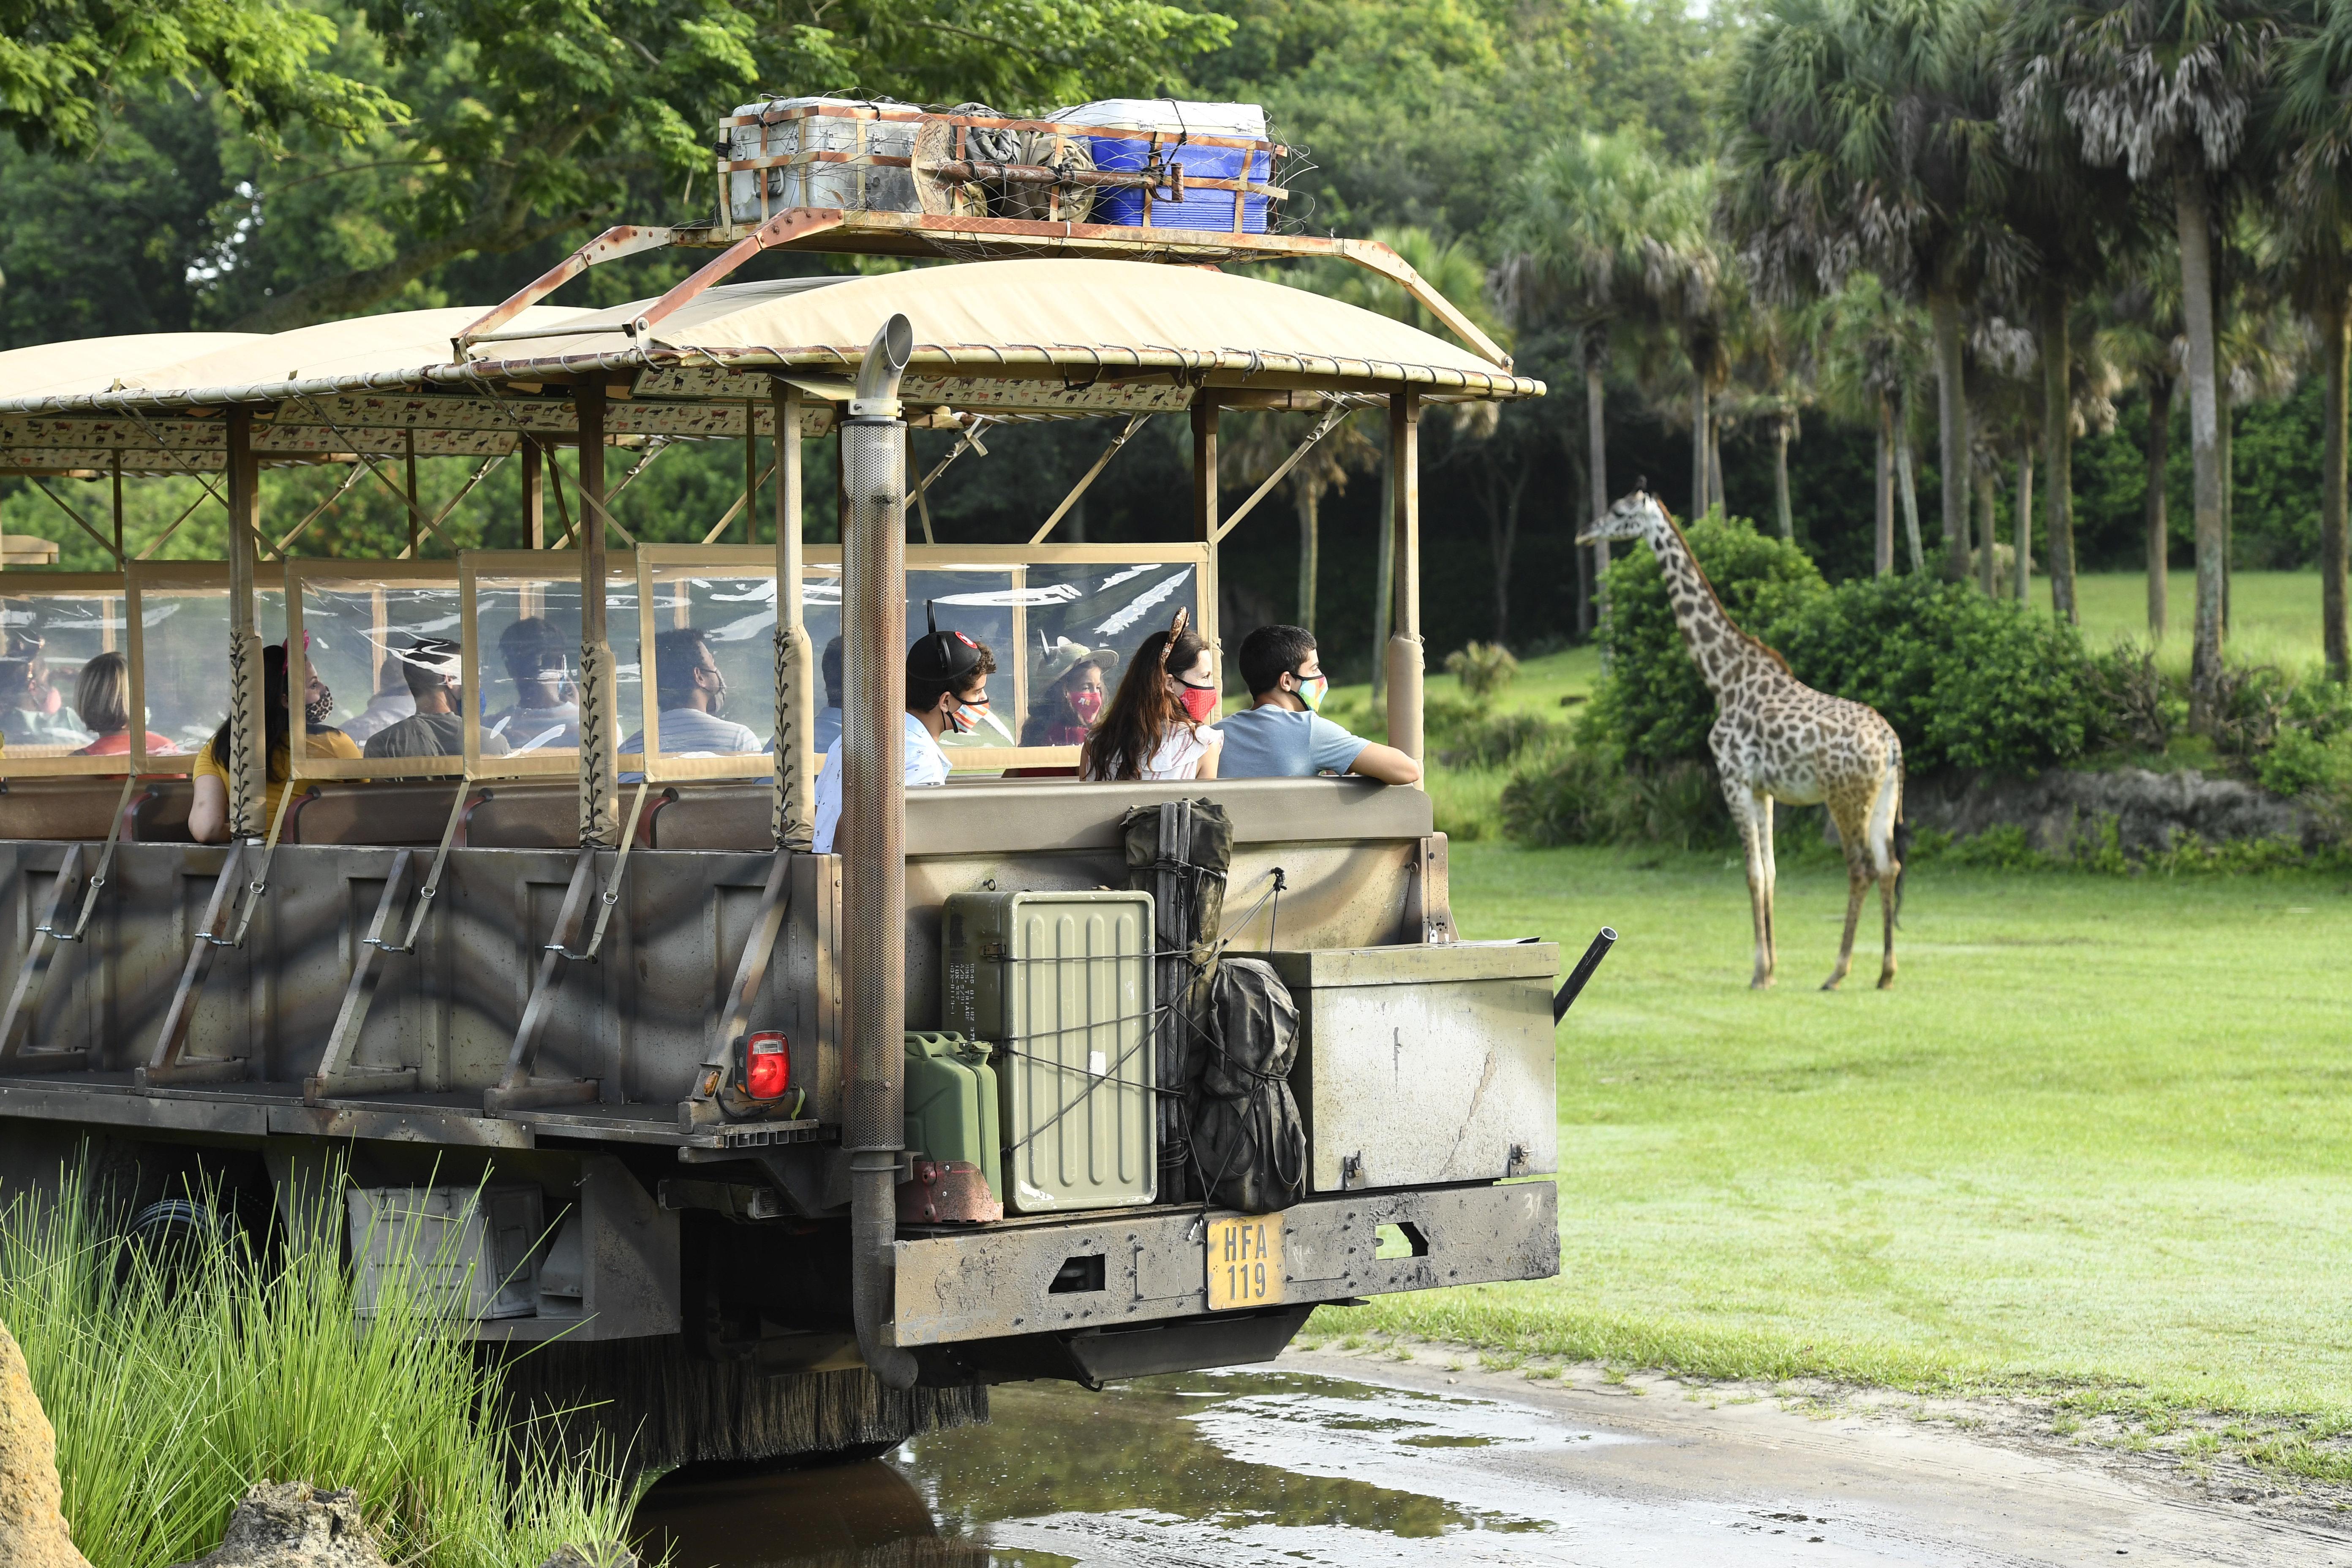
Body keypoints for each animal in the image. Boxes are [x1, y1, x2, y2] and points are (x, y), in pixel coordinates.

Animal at [1580, 487, 1910, 992]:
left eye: (1618, 511)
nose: (1585, 532)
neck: (1723, 679)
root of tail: (1891, 744)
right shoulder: (1762, 789)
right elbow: (1771, 872)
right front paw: (1770, 968)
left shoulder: (1732, 778)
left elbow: (1753, 874)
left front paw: (1759, 972)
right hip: (1883, 797)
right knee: (1890, 865)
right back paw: (1886, 973)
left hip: (1844, 797)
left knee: (1862, 868)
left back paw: (1837, 971)